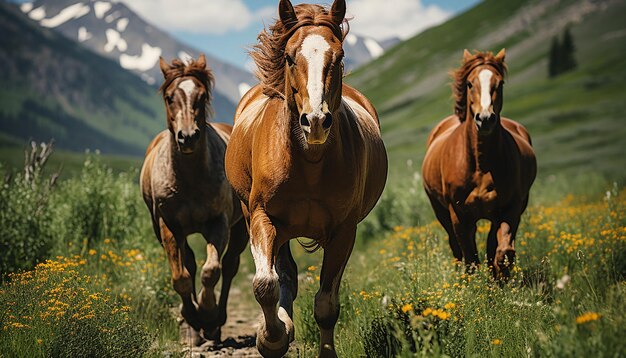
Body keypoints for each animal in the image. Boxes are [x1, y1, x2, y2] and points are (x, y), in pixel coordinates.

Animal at [140, 53, 247, 344]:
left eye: (202, 96)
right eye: (169, 98)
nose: (187, 137)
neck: (189, 180)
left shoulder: (218, 223)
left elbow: (212, 271)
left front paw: (207, 316)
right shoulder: (167, 226)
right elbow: (181, 277)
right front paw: (191, 319)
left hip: (241, 228)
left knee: (229, 266)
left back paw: (216, 324)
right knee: (188, 263)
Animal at [222, 1, 388, 356]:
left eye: (339, 56)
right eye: (288, 56)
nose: (315, 122)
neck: (309, 162)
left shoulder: (344, 232)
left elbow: (326, 305)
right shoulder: (262, 217)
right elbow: (266, 284)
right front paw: (271, 338)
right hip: (266, 223)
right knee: (284, 275)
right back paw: (282, 327)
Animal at [420, 49, 532, 280]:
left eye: (500, 83)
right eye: (470, 83)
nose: (485, 118)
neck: (481, 165)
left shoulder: (510, 209)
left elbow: (502, 250)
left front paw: (499, 277)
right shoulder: (458, 214)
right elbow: (470, 256)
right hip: (441, 211)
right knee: (456, 246)